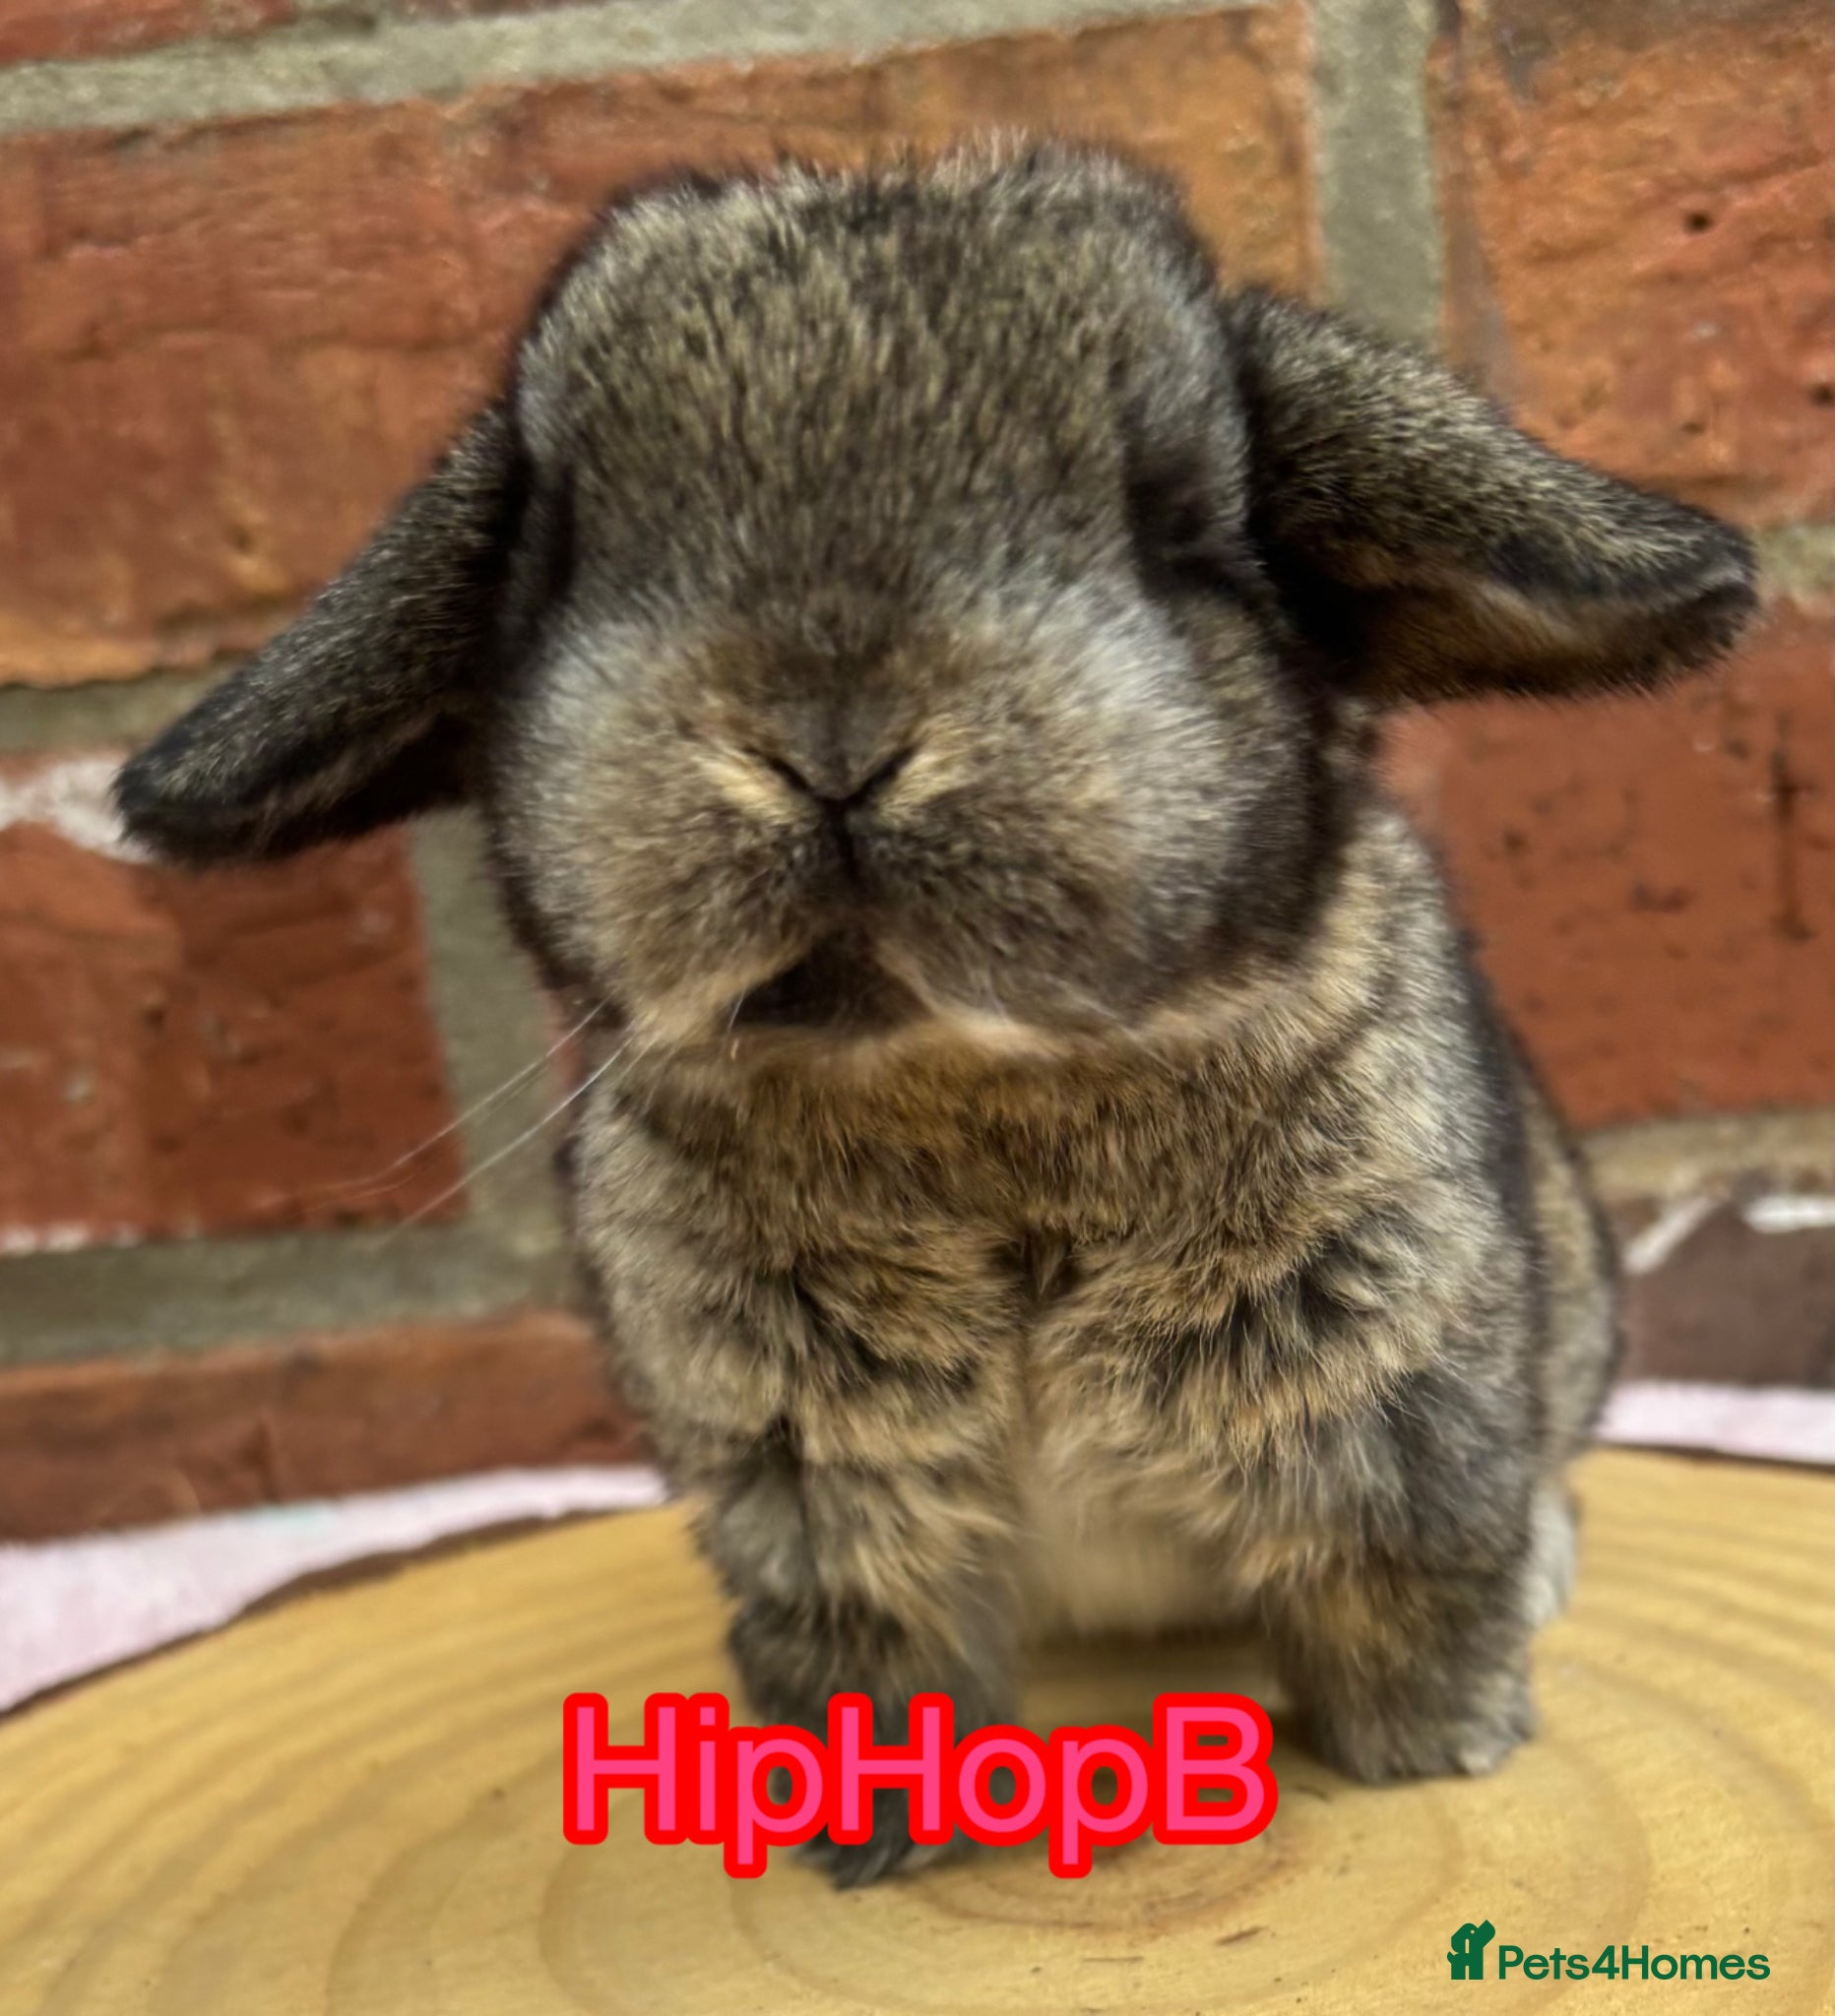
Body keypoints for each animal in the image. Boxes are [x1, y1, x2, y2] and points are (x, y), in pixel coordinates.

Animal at [116, 141, 1755, 1886]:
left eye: (1176, 523)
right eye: (555, 555)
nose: (830, 738)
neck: (966, 1091)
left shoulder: (1392, 1397)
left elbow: (1400, 1587)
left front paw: (1438, 1755)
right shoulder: (809, 1484)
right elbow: (872, 1660)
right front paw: (863, 1846)